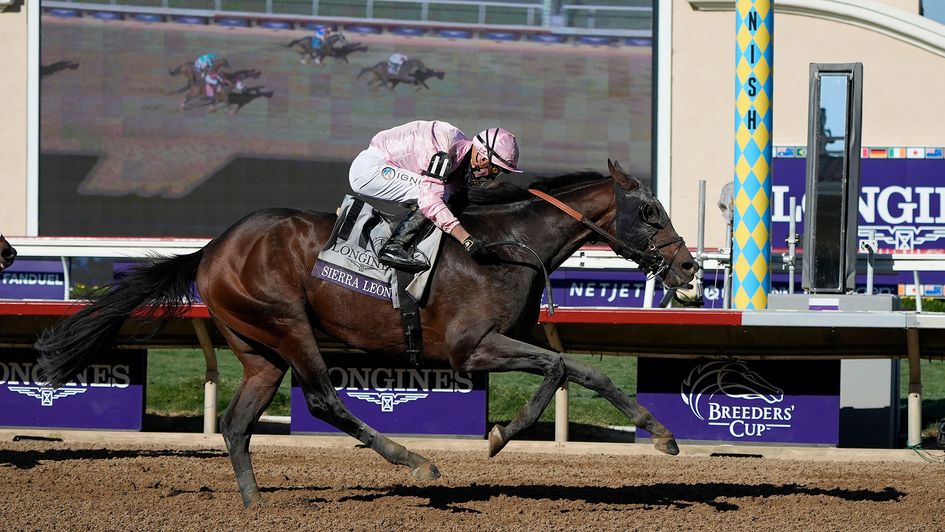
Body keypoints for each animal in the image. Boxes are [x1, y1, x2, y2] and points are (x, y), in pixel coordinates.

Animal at [35, 161, 692, 508]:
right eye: (650, 212)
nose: (688, 267)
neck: (507, 246)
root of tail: (214, 247)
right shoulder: (471, 348)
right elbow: (557, 370)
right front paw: (500, 436)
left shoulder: (513, 342)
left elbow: (587, 370)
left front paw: (660, 434)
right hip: (288, 323)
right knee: (324, 400)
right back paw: (414, 461)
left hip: (259, 350)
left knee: (236, 422)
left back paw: (254, 503)